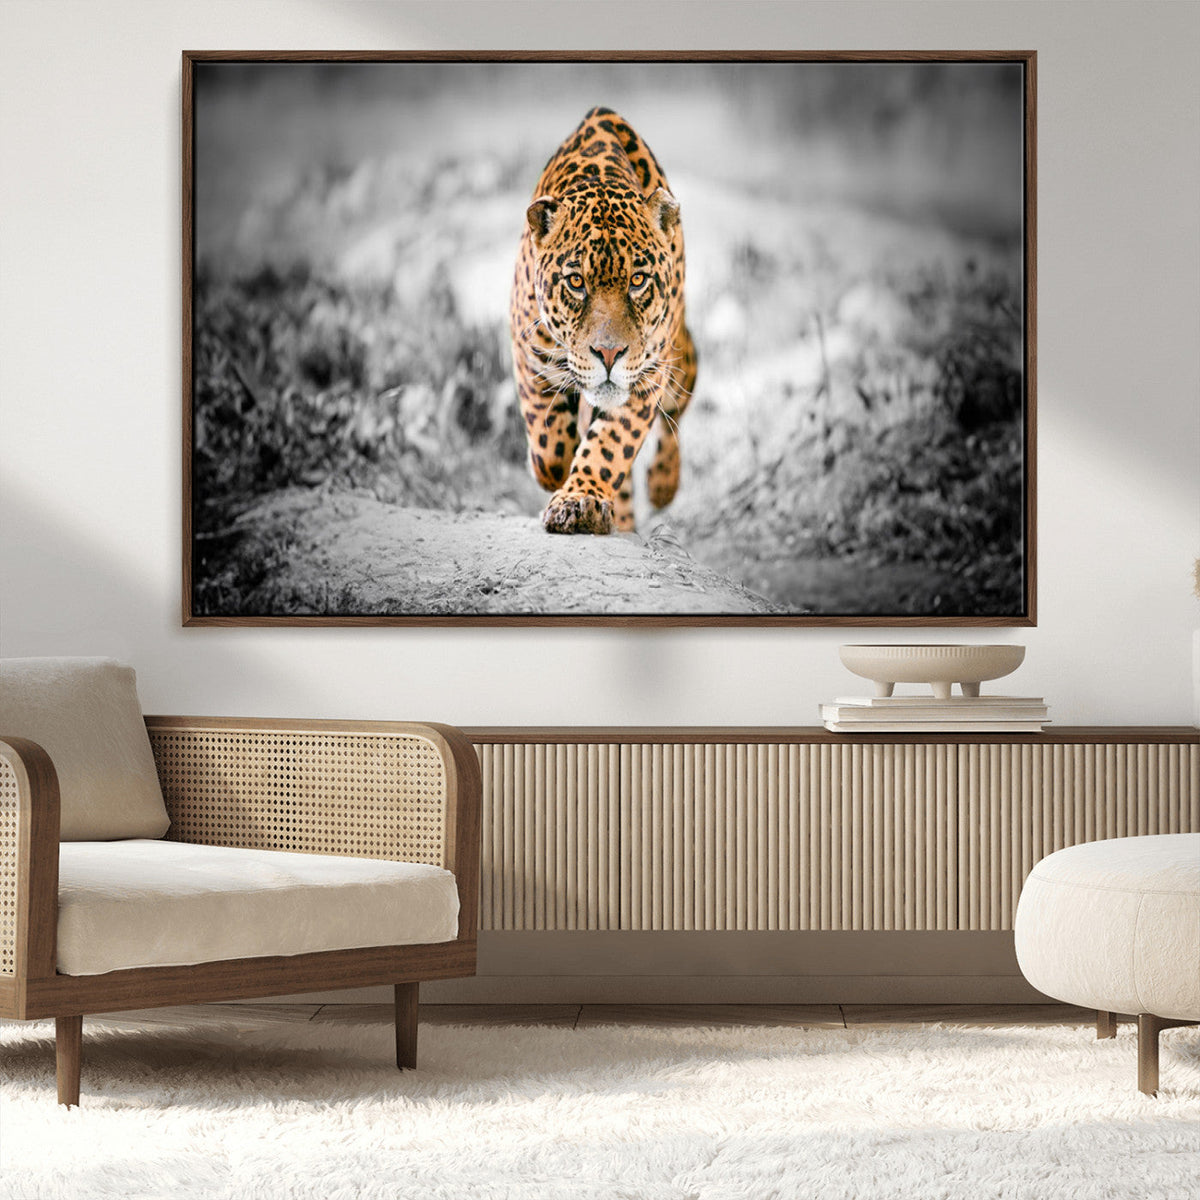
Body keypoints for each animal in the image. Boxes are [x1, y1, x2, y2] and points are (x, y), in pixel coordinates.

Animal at [509, 107, 697, 535]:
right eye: (576, 282)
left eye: (638, 280)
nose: (609, 354)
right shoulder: (529, 352)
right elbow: (548, 444)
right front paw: (555, 472)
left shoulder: (647, 375)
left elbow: (610, 445)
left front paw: (580, 500)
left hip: (679, 358)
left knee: (676, 411)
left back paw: (662, 485)